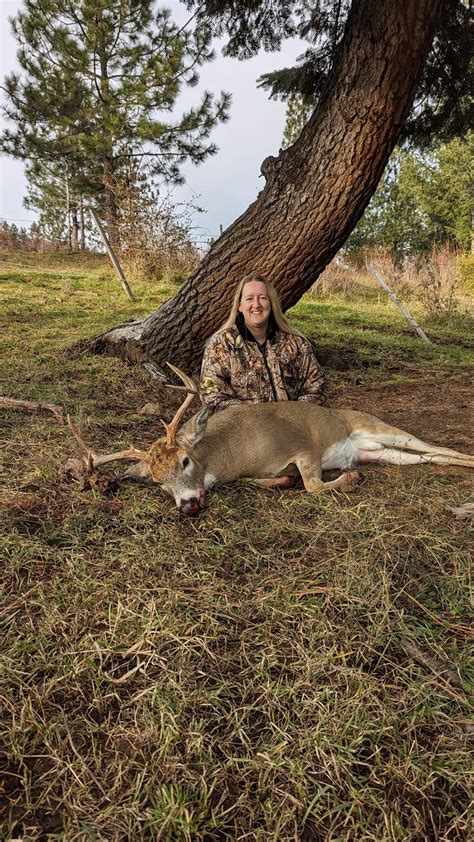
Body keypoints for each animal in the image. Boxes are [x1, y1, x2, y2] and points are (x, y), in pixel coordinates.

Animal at [66, 360, 474, 512]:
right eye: (156, 481)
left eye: (184, 460)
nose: (187, 505)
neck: (235, 454)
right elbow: (277, 481)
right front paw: (282, 481)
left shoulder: (304, 447)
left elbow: (313, 485)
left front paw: (349, 479)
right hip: (379, 452)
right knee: (427, 457)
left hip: (377, 427)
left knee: (437, 446)